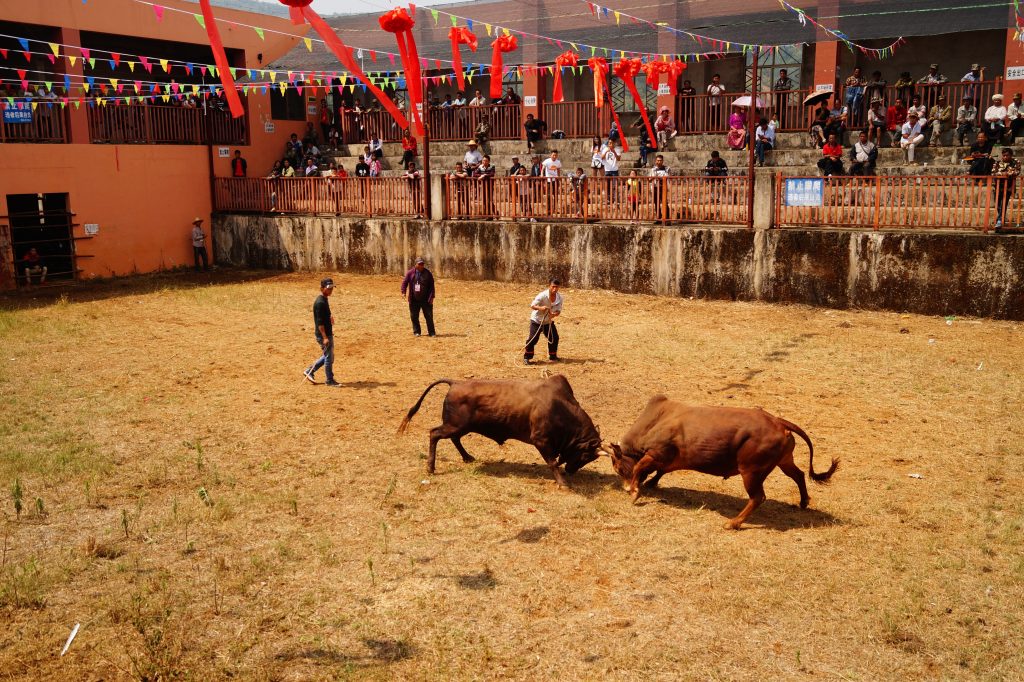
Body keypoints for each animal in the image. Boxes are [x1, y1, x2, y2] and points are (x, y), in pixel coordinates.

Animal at [397, 374, 606, 485]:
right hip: (455, 426)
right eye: (586, 456)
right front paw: (562, 483)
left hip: (460, 427)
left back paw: (467, 457)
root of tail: (455, 382)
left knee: (454, 439)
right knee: (434, 434)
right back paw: (431, 467)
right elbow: (552, 462)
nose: (571, 471)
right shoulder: (541, 440)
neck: (561, 407)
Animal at [598, 395, 839, 528]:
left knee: (758, 497)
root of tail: (778, 422)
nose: (623, 486)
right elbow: (660, 471)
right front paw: (648, 484)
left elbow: (641, 467)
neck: (655, 421)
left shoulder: (656, 453)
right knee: (798, 475)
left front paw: (634, 491)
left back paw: (733, 523)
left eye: (617, 468)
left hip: (751, 471)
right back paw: (804, 502)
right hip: (784, 461)